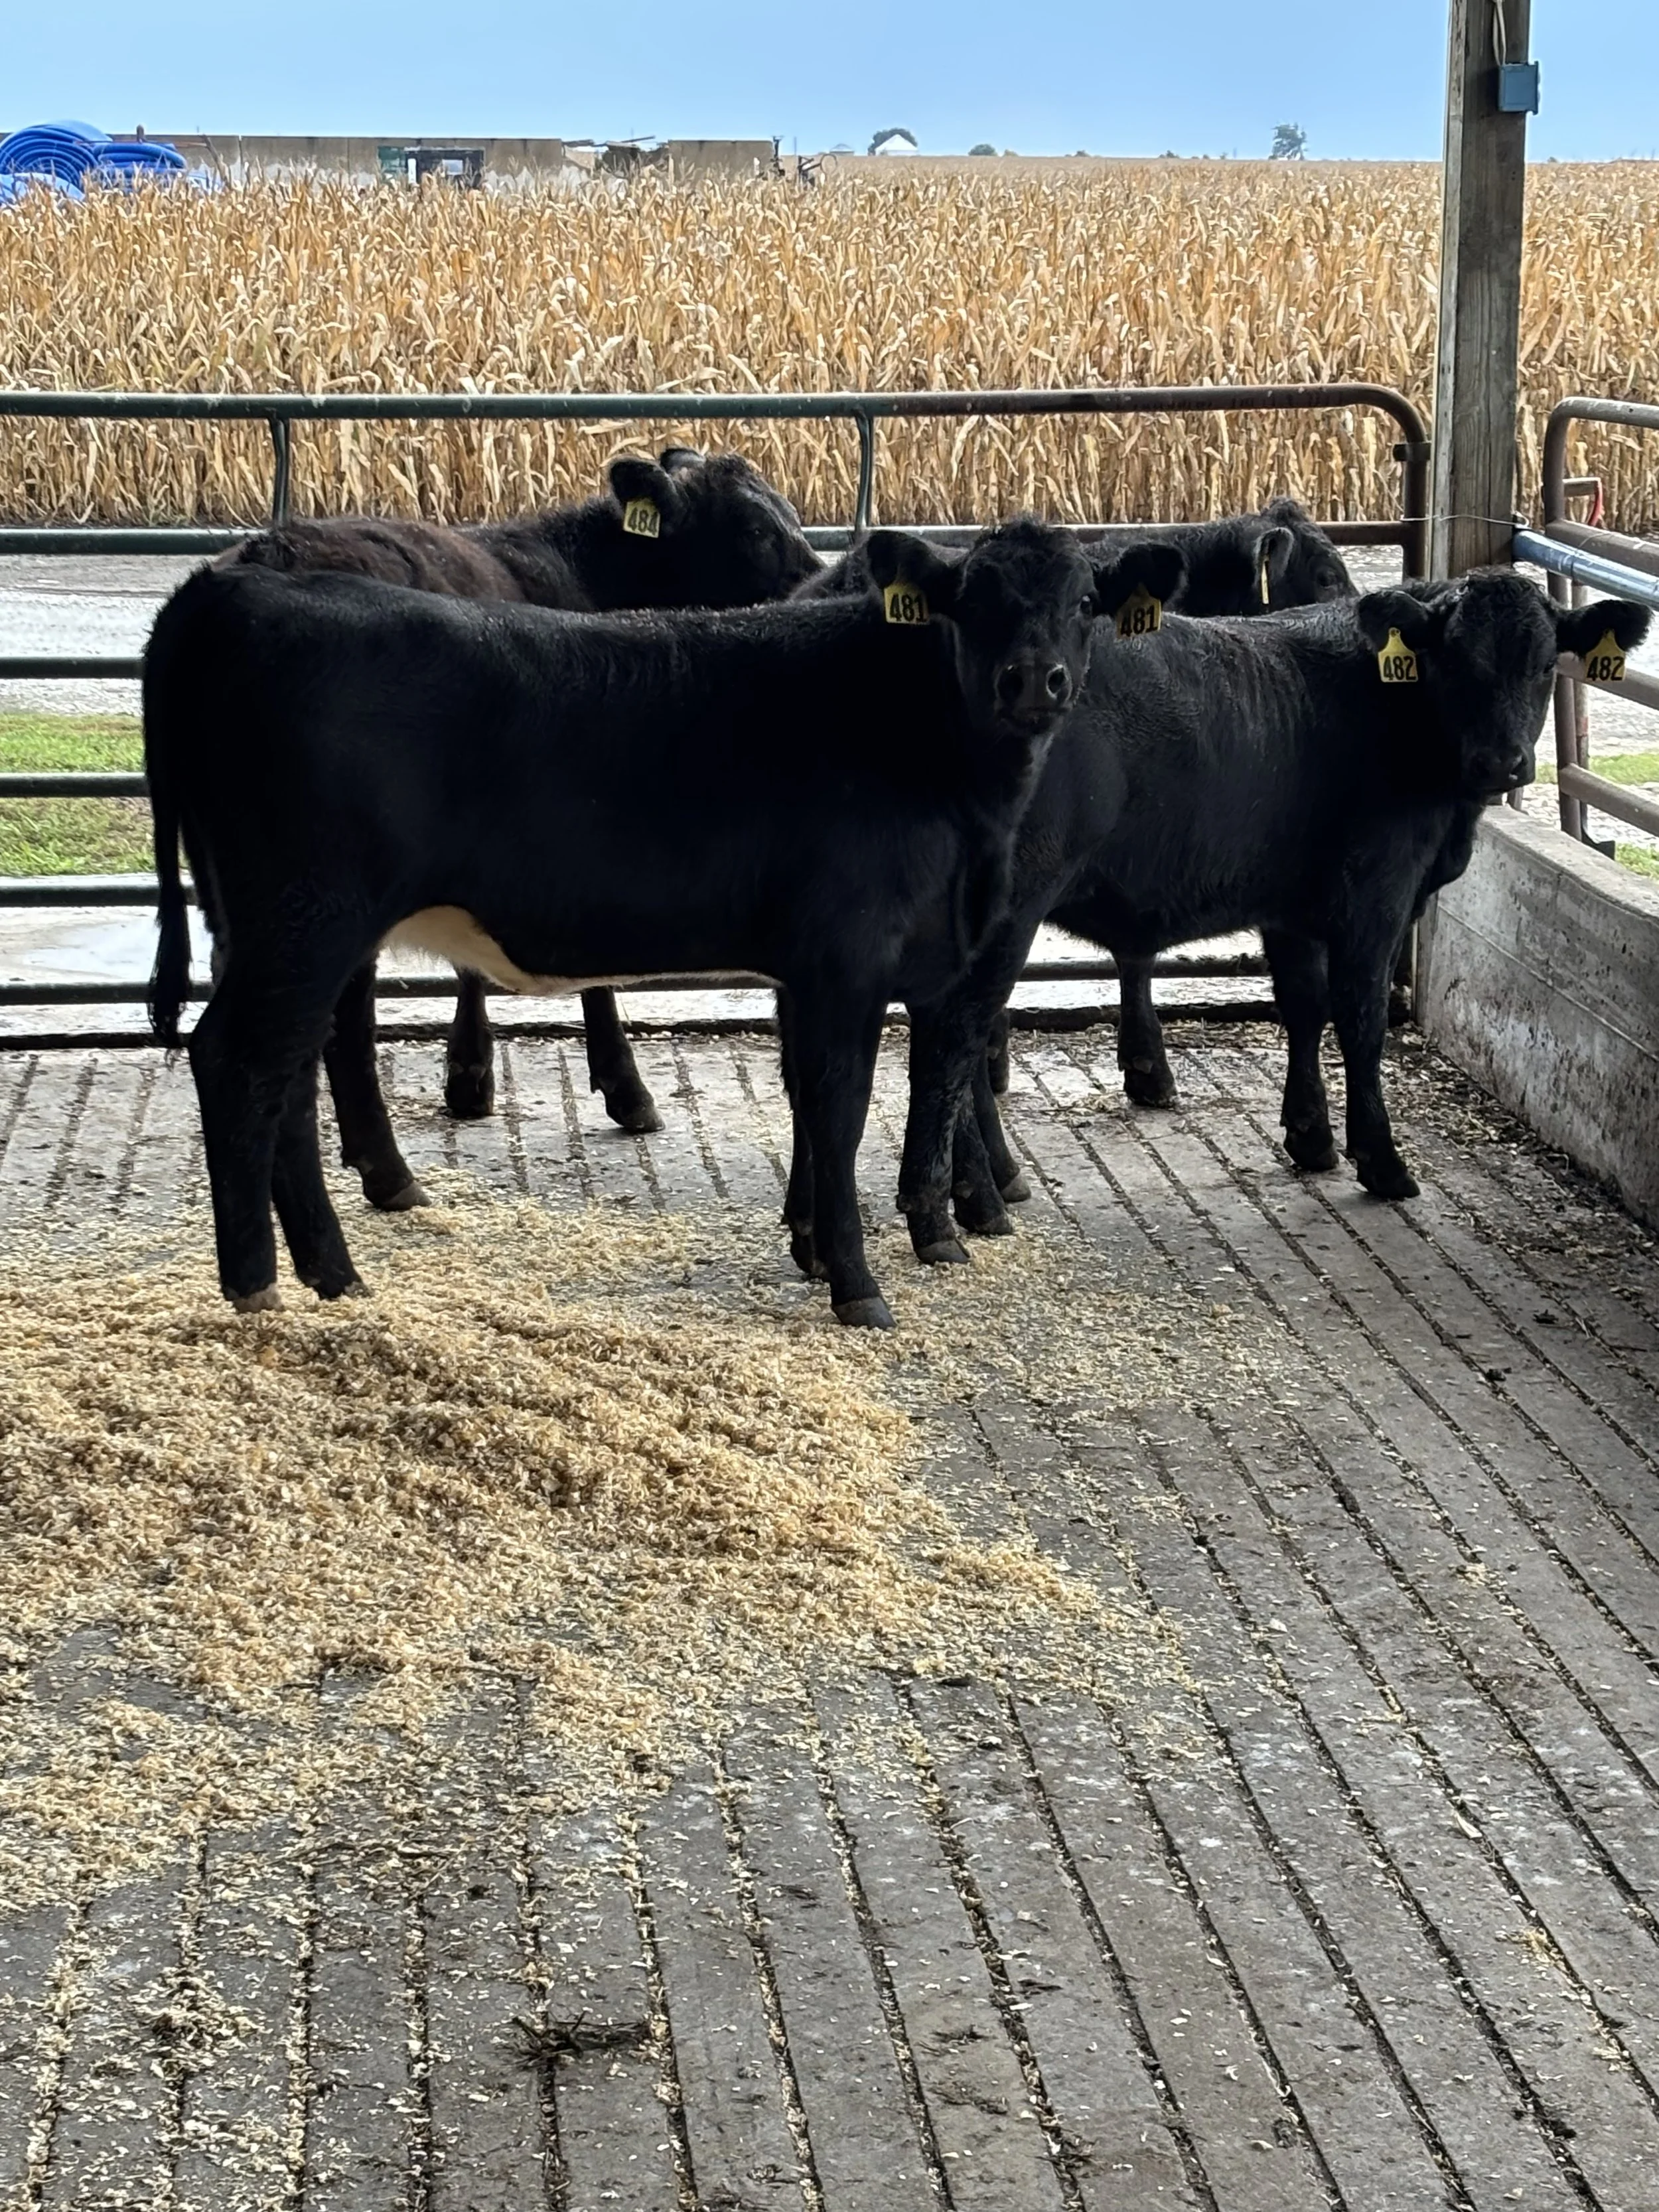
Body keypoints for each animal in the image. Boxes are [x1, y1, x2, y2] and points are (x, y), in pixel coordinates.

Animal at [890, 570, 1650, 1265]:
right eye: (1456, 659)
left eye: (1543, 663)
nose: (1503, 761)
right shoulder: (1377, 892)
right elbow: (1361, 1018)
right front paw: (1381, 1161)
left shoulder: (1293, 905)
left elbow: (1303, 1006)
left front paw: (1311, 1136)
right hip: (1011, 904)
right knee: (957, 1033)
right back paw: (973, 1199)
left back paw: (991, 1182)